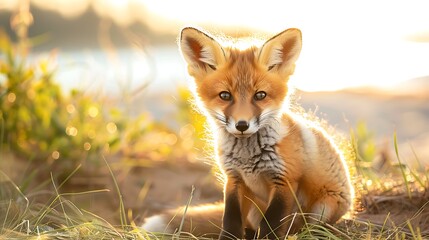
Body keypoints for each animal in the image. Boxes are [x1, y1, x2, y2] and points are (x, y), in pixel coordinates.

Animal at [142, 27, 352, 240]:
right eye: (225, 95)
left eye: (260, 95)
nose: (242, 125)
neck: (247, 158)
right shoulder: (234, 179)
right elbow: (230, 221)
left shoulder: (284, 180)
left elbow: (271, 225)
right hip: (254, 210)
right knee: (251, 228)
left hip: (322, 209)